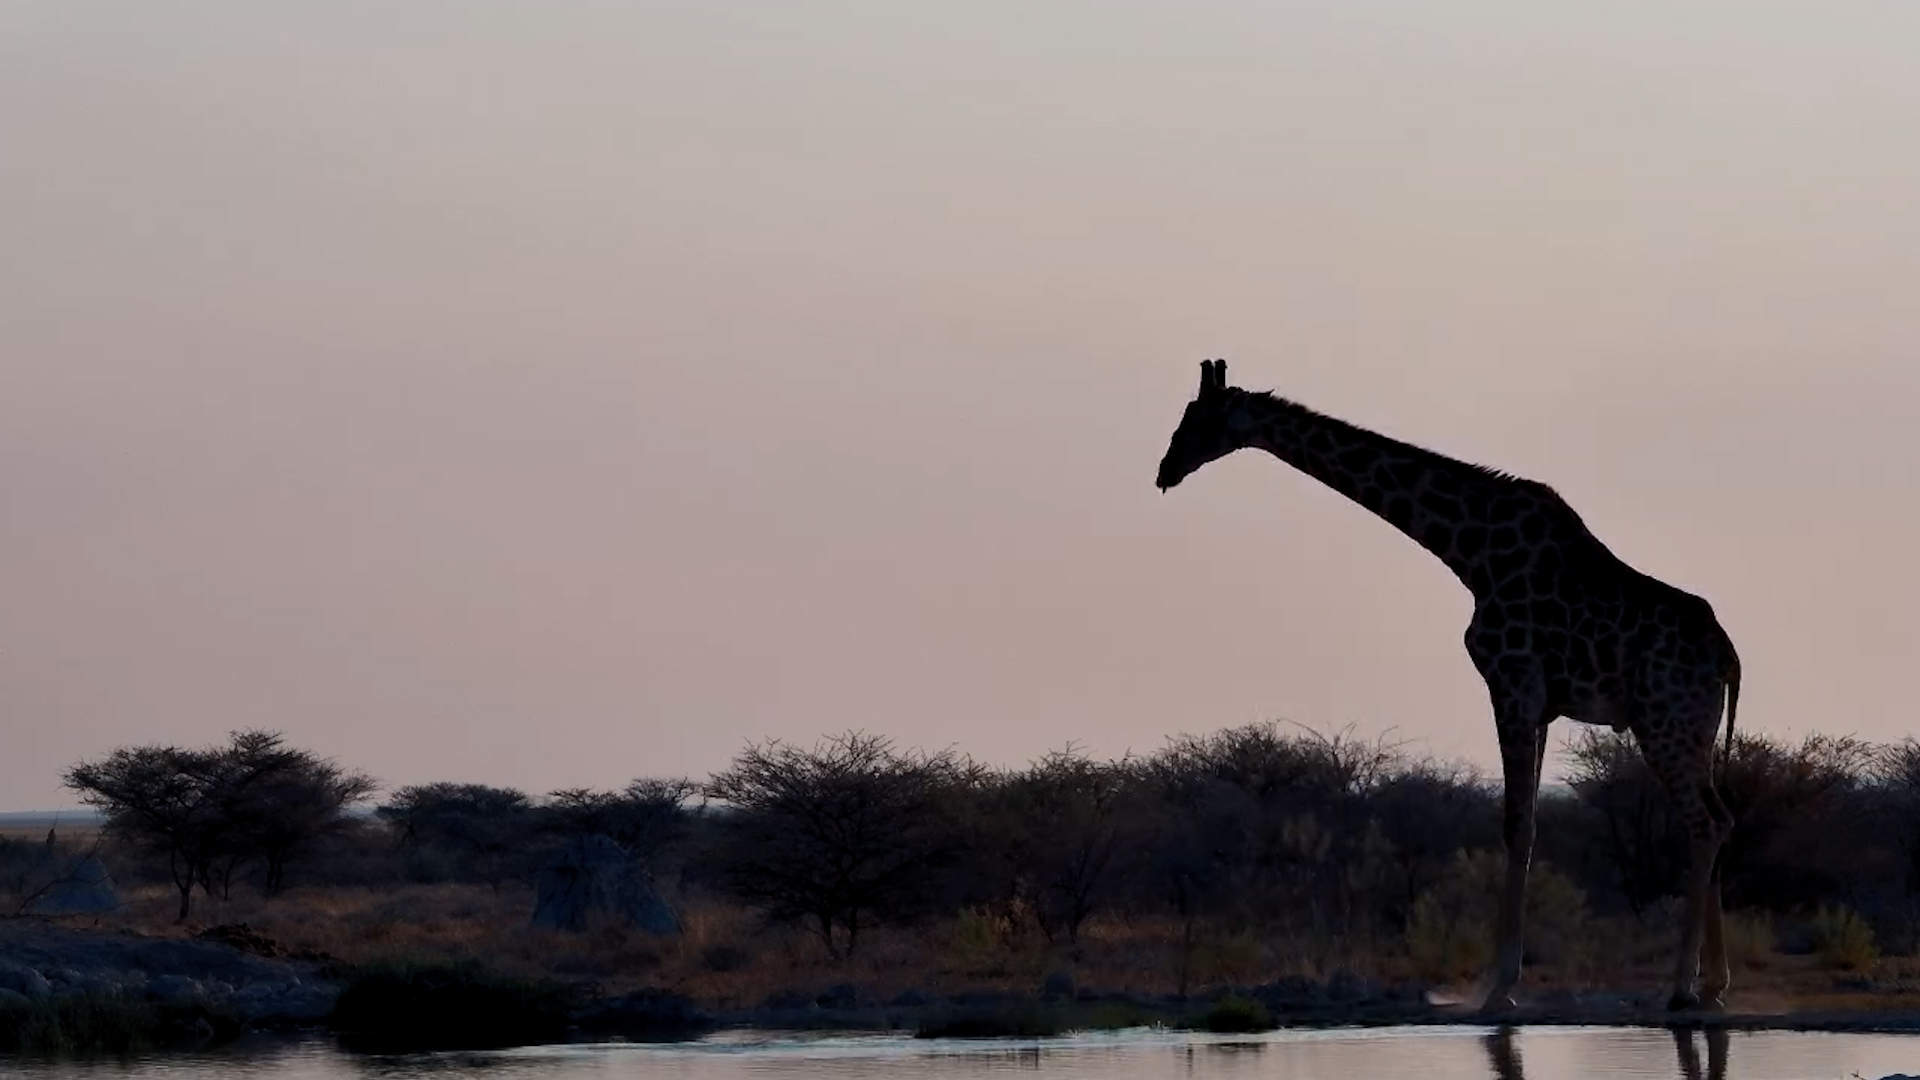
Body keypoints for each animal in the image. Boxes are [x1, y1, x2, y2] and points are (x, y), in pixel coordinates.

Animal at [1154, 359, 1742, 1013]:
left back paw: (1682, 988)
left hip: (1663, 721)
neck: (1469, 550)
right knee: (1720, 818)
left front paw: (1501, 986)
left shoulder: (1511, 682)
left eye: (1197, 419)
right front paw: (1501, 981)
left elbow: (1517, 825)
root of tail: (1728, 656)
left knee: (1705, 823)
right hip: (1691, 729)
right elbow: (1525, 824)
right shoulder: (1538, 704)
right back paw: (1713, 982)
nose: (1164, 471)